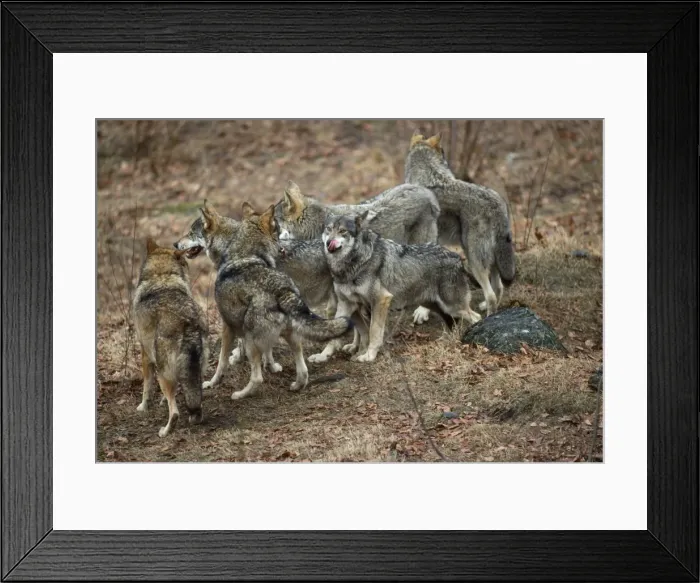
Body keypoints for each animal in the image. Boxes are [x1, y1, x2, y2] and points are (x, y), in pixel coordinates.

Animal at [132, 238, 209, 437]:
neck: (162, 276)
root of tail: (189, 324)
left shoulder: (145, 355)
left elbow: (146, 388)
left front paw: (143, 407)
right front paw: (161, 402)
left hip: (162, 372)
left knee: (174, 413)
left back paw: (165, 431)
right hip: (197, 370)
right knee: (195, 399)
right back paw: (194, 417)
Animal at [196, 200, 353, 400]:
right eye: (277, 232)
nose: (282, 248)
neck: (243, 254)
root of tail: (282, 290)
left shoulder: (227, 327)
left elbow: (222, 362)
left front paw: (211, 382)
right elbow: (268, 352)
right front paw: (272, 366)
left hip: (252, 340)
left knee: (257, 379)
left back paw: (239, 395)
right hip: (292, 334)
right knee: (303, 371)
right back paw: (296, 385)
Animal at [309, 211, 481, 364]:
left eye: (343, 231)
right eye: (328, 229)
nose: (328, 243)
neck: (354, 263)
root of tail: (457, 257)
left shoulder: (381, 300)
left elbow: (374, 331)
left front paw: (369, 356)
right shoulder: (346, 304)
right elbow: (334, 337)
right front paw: (322, 356)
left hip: (453, 306)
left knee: (476, 317)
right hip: (437, 306)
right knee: (453, 322)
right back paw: (448, 339)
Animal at [404, 133, 516, 315]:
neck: (427, 175)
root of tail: (497, 204)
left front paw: (422, 311)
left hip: (474, 260)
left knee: (491, 295)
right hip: (491, 261)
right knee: (499, 289)